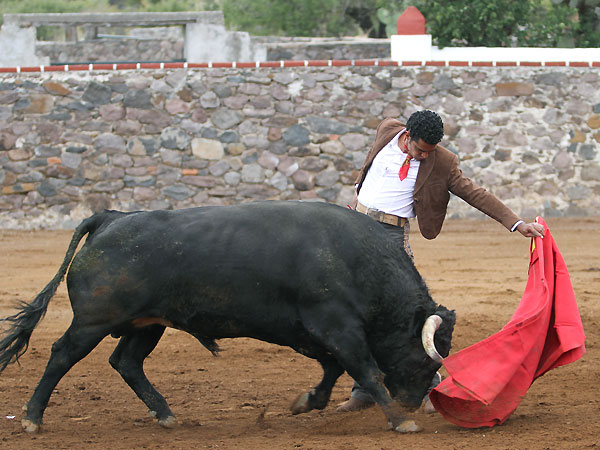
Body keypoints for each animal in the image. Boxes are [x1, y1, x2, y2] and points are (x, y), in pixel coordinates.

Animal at [0, 200, 454, 432]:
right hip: (94, 321)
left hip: (149, 324)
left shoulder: (317, 334)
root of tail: (111, 218)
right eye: (425, 358)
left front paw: (307, 402)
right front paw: (400, 421)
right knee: (62, 355)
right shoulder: (337, 329)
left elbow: (333, 370)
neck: (357, 261)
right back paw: (33, 419)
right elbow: (367, 371)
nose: (414, 401)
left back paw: (165, 414)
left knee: (126, 361)